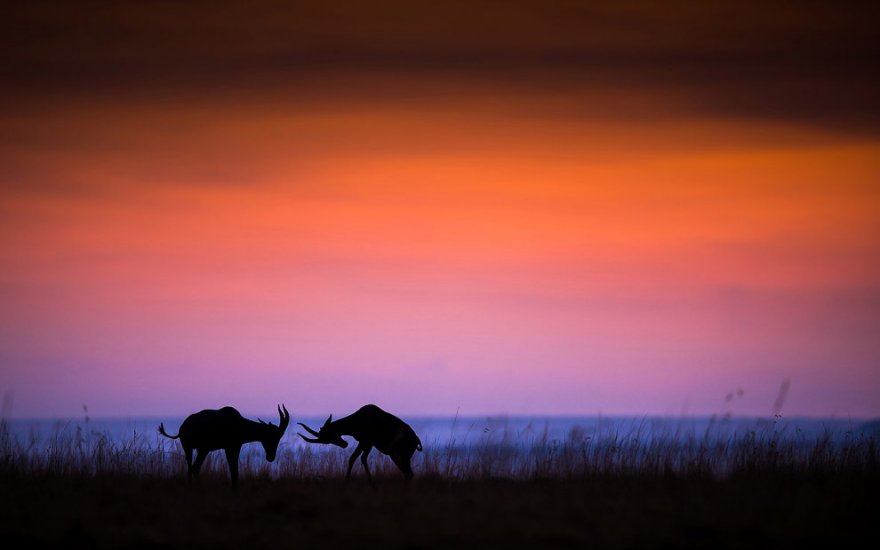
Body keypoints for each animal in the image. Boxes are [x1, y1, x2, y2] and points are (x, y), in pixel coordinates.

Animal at [160, 406, 290, 488]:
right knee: (195, 468)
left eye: (279, 437)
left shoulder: (229, 448)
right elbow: (234, 471)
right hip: (203, 449)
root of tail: (184, 426)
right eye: (272, 436)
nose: (271, 457)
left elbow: (233, 470)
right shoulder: (232, 447)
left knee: (190, 469)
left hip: (189, 449)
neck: (237, 421)